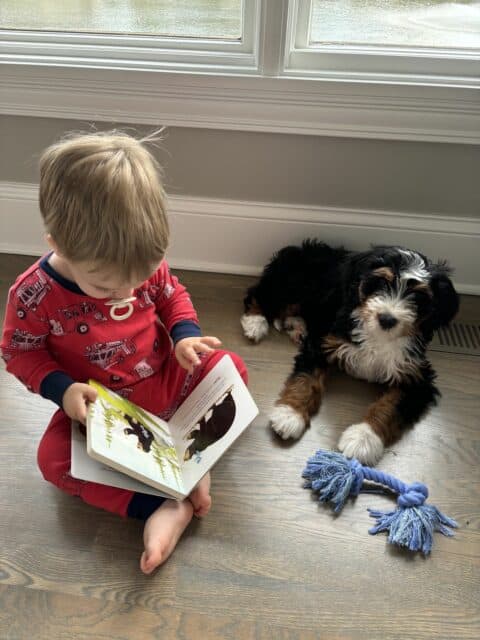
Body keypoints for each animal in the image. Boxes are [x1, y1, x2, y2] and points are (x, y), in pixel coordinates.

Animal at [242, 240, 460, 464]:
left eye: (417, 296)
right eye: (381, 283)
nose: (387, 319)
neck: (377, 336)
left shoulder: (417, 378)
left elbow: (391, 406)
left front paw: (363, 438)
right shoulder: (322, 343)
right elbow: (306, 380)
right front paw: (290, 415)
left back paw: (296, 327)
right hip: (292, 284)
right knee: (260, 295)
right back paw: (255, 322)